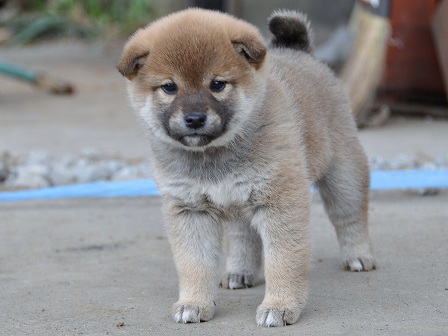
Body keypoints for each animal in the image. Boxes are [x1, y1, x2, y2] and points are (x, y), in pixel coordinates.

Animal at [118, 7, 374, 326]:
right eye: (169, 87)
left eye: (217, 84)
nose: (194, 119)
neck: (213, 155)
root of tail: (299, 52)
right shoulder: (190, 209)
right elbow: (194, 264)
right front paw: (194, 302)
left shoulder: (280, 203)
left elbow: (282, 262)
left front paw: (279, 305)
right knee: (244, 236)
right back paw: (239, 271)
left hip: (343, 175)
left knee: (349, 216)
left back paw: (358, 256)